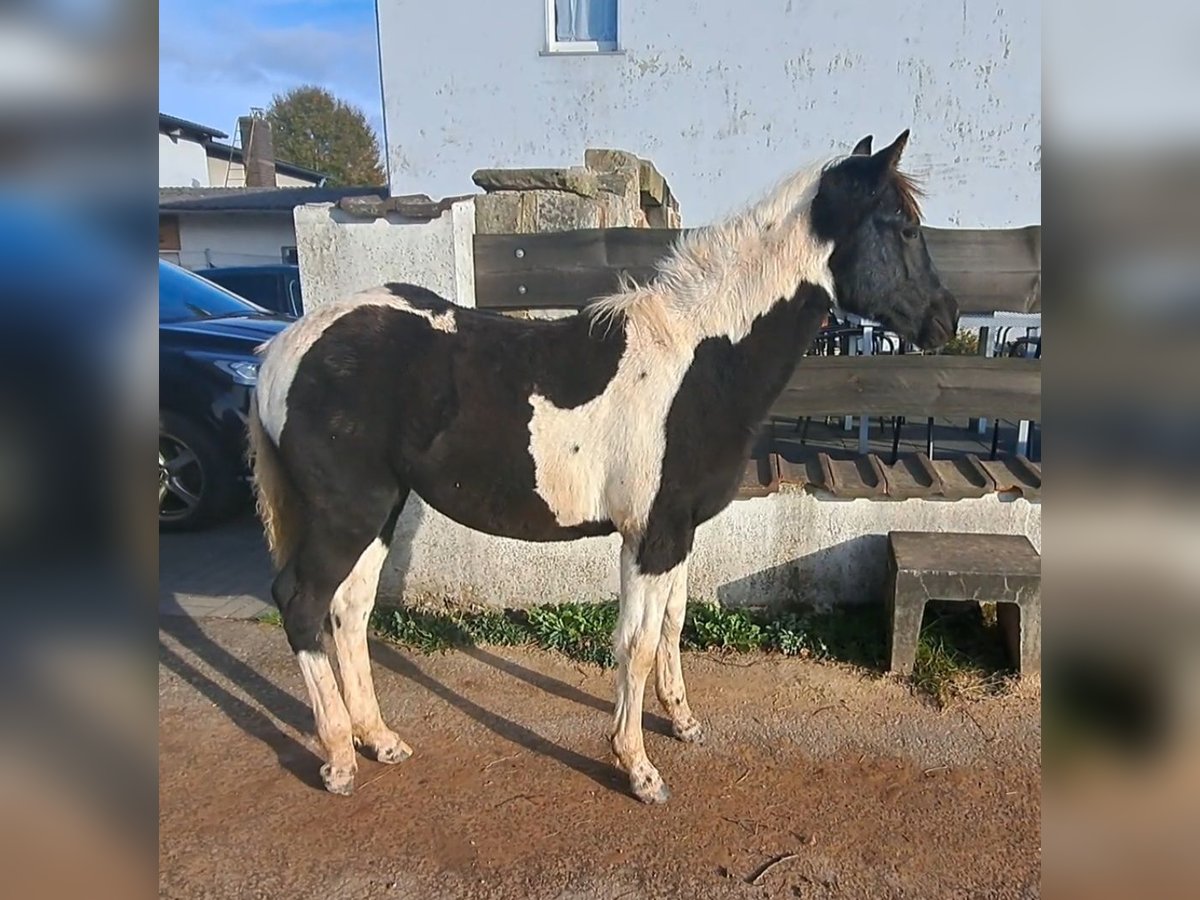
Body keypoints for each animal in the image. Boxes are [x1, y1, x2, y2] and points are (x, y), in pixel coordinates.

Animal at [248, 132, 960, 801]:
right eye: (903, 225)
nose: (946, 318)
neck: (699, 360)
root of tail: (282, 348)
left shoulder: (676, 533)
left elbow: (672, 624)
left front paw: (682, 722)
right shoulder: (651, 536)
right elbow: (636, 644)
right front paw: (638, 768)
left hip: (381, 509)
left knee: (350, 611)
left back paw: (380, 740)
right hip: (350, 511)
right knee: (304, 604)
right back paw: (340, 759)